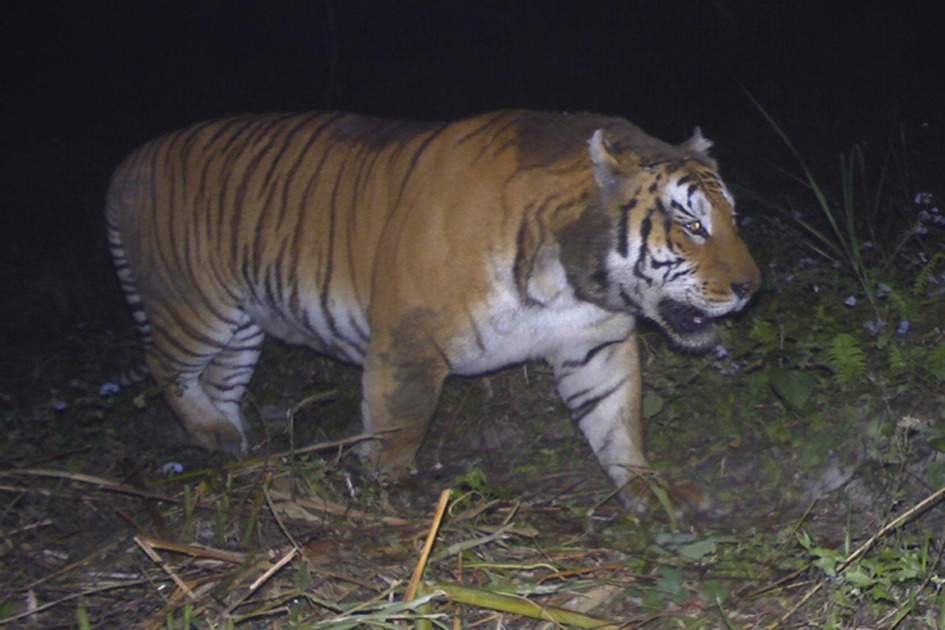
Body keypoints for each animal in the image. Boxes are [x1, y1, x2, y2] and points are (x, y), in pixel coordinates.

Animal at [105, 111, 760, 512]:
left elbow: (618, 421)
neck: (568, 283)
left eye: (732, 219)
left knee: (219, 381)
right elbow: (402, 423)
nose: (751, 287)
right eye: (691, 225)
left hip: (241, 329)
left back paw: (235, 446)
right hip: (195, 308)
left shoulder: (592, 343)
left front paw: (651, 488)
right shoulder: (408, 342)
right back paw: (214, 433)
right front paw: (390, 491)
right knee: (165, 366)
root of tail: (129, 162)